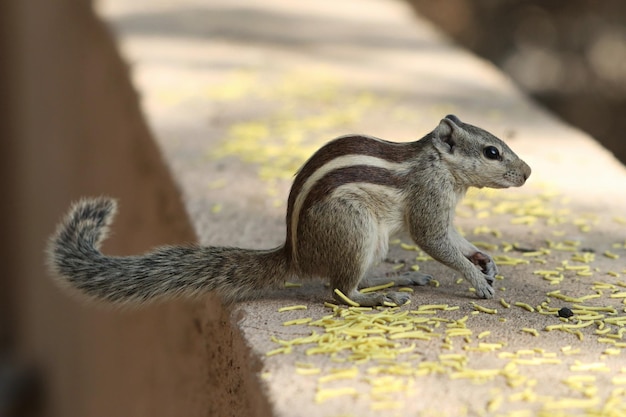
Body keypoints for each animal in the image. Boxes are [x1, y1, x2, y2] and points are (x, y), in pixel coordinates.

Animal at [46, 115, 528, 308]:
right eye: (492, 152)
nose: (526, 172)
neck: (438, 164)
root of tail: (296, 255)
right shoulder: (429, 202)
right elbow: (434, 240)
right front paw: (474, 279)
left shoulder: (444, 210)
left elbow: (456, 239)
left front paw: (484, 259)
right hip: (354, 229)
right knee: (338, 292)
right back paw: (378, 298)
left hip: (371, 242)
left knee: (349, 281)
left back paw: (398, 279)